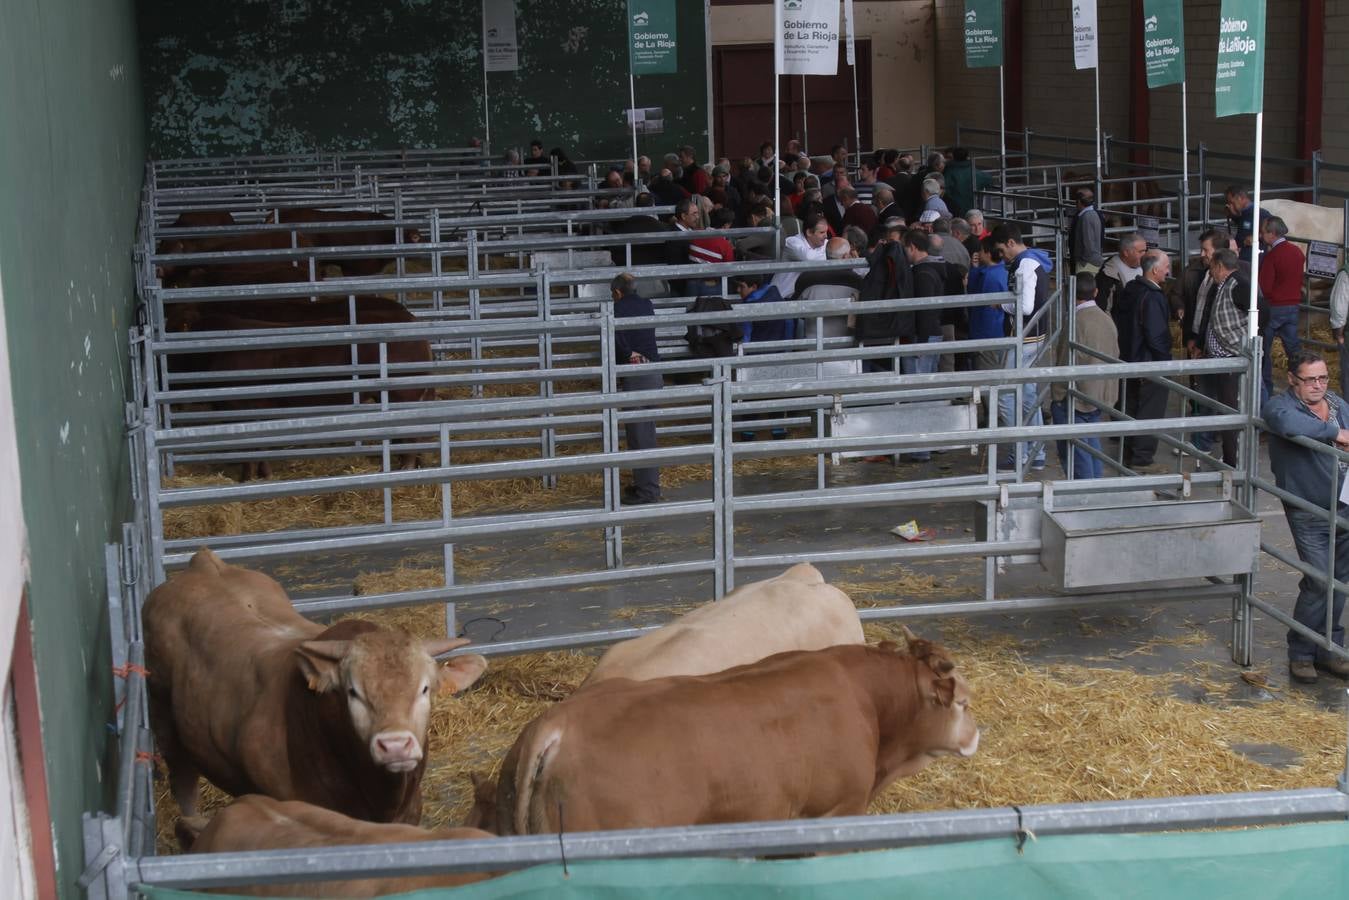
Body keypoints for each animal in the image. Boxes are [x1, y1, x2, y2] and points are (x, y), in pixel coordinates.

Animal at [142, 545, 488, 825]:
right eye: (353, 692)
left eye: (424, 689)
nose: (394, 746)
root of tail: (203, 563)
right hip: (166, 722)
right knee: (184, 784)